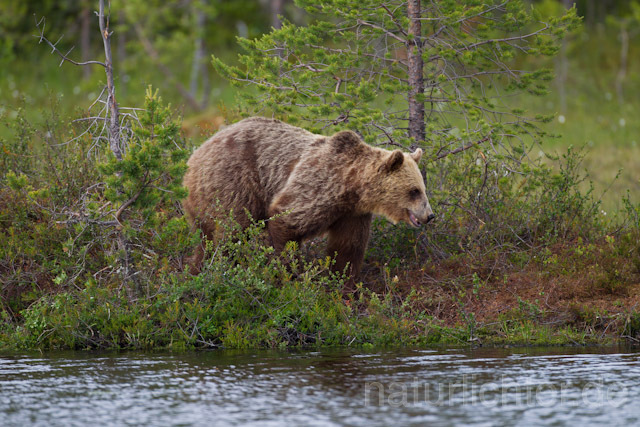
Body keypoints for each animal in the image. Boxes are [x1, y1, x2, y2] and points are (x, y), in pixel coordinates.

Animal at [185, 118, 436, 280]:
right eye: (414, 190)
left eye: (423, 189)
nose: (429, 215)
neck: (351, 186)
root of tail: (197, 153)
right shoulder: (318, 186)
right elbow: (286, 220)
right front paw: (289, 273)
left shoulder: (352, 213)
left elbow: (348, 247)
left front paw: (344, 283)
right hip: (233, 180)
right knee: (233, 229)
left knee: (206, 238)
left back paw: (197, 269)